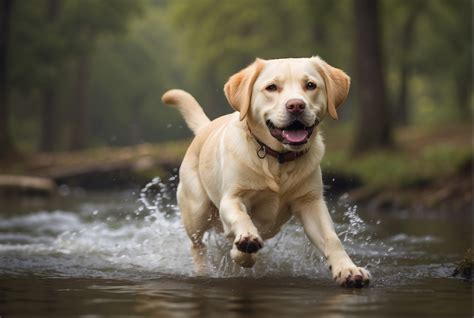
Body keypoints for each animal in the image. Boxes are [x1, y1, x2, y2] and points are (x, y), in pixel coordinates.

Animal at [163, 57, 370, 288]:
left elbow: (331, 238)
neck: (277, 159)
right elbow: (241, 218)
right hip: (196, 209)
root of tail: (205, 128)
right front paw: (244, 245)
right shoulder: (232, 198)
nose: (296, 105)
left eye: (310, 85)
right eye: (271, 87)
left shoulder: (311, 202)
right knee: (197, 245)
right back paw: (205, 270)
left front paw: (348, 269)